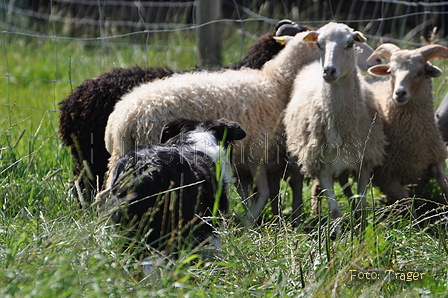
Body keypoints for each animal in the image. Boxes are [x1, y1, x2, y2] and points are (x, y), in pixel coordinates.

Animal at [102, 30, 318, 226]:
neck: (276, 82)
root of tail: (121, 119)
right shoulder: (258, 153)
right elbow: (264, 193)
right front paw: (253, 223)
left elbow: (253, 194)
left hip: (118, 159)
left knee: (103, 196)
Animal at [286, 22, 386, 219]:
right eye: (318, 44)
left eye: (350, 43)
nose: (329, 71)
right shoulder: (322, 167)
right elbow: (335, 212)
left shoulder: (364, 163)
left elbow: (361, 208)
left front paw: (360, 225)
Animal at [366, 43, 448, 205]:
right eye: (391, 72)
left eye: (420, 72)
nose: (399, 93)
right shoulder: (387, 177)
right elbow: (408, 205)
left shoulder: (437, 159)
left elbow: (445, 185)